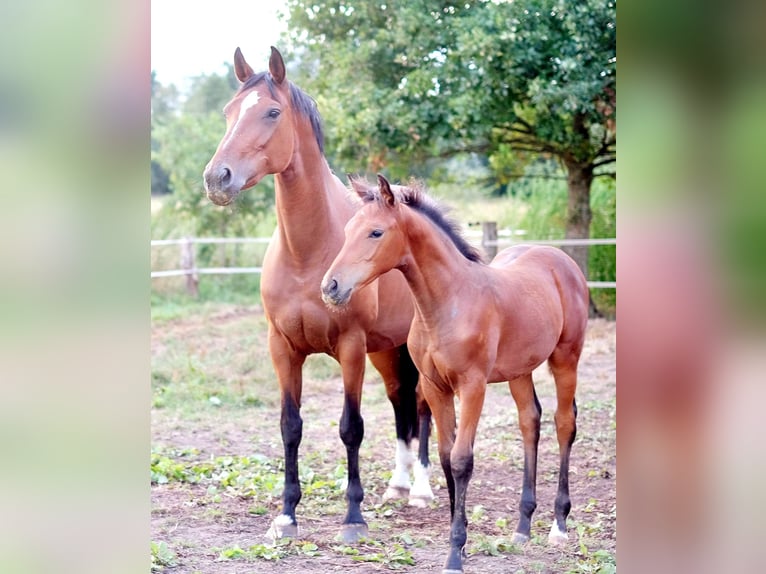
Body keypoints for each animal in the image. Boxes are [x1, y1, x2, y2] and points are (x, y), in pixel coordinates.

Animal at [201, 46, 436, 544]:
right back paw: (398, 485)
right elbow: (290, 427)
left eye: (272, 112)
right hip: (387, 351)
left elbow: (351, 428)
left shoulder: (349, 347)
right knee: (401, 403)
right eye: (229, 112)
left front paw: (353, 518)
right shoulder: (283, 348)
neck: (307, 253)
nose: (217, 178)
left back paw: (423, 489)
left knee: (425, 409)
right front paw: (287, 515)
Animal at [320, 177, 592, 574]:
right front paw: (458, 544)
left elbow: (463, 460)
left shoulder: (473, 386)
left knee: (564, 423)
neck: (448, 303)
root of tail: (561, 260)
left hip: (565, 358)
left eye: (376, 232)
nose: (331, 287)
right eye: (347, 230)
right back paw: (523, 526)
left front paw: (454, 553)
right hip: (520, 370)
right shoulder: (436, 387)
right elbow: (446, 456)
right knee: (530, 421)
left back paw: (558, 525)